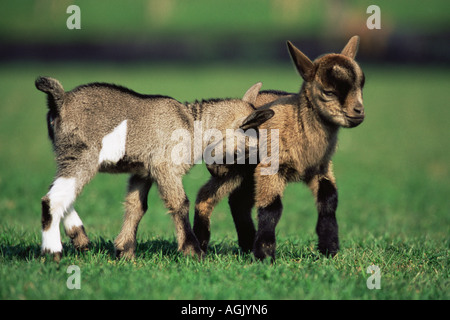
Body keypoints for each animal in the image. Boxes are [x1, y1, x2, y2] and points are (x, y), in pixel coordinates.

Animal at [35, 77, 270, 260]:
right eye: (249, 150)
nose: (220, 173)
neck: (191, 125)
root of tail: (61, 100)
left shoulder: (143, 172)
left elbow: (136, 206)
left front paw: (125, 251)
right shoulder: (164, 166)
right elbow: (180, 203)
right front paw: (193, 251)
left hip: (68, 156)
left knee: (62, 193)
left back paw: (80, 238)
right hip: (81, 155)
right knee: (53, 198)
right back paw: (53, 252)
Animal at [194, 35, 366, 260]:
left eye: (361, 85)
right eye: (328, 92)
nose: (359, 112)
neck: (298, 123)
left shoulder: (322, 167)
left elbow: (329, 201)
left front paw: (329, 249)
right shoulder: (271, 167)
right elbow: (271, 208)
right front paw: (265, 255)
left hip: (247, 171)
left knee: (238, 202)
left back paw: (247, 243)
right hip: (230, 166)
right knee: (206, 197)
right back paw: (202, 244)